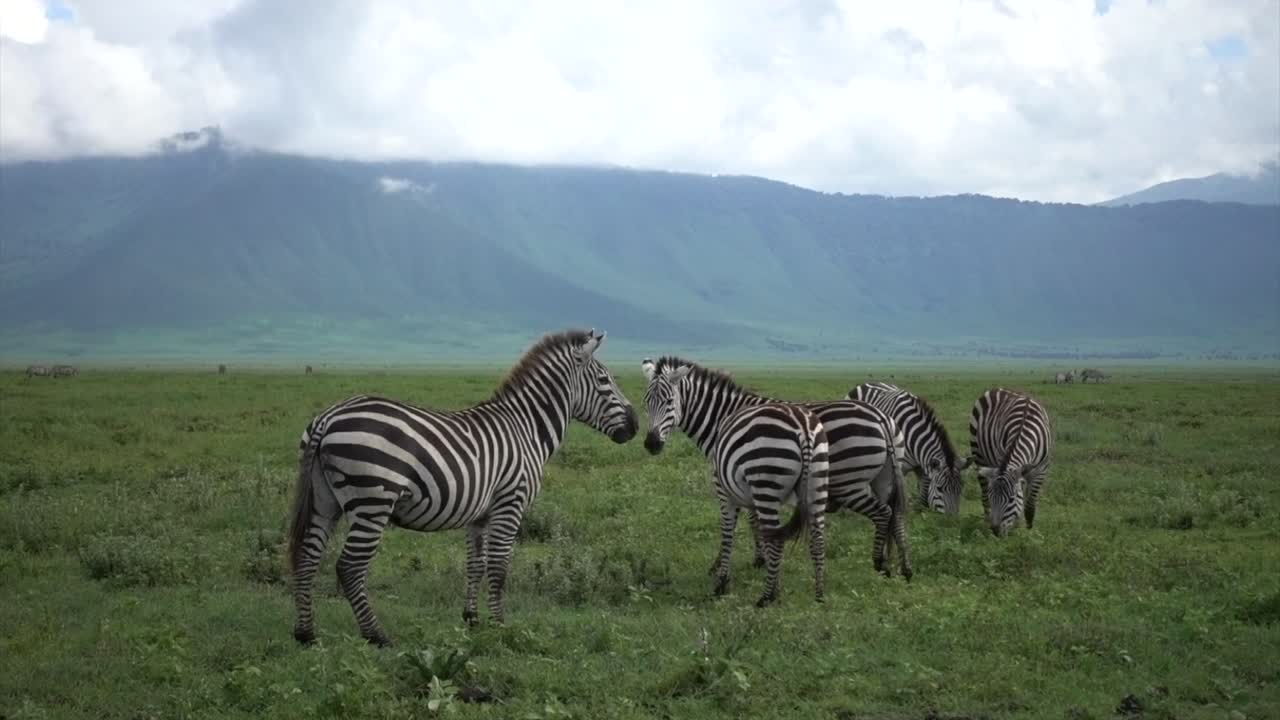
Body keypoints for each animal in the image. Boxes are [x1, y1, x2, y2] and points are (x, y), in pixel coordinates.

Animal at [288, 329, 637, 646]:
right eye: (605, 380)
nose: (635, 427)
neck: (526, 428)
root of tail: (328, 418)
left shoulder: (479, 514)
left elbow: (475, 565)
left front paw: (471, 619)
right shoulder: (510, 503)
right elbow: (498, 568)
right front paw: (499, 626)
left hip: (324, 500)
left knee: (307, 557)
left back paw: (306, 633)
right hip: (373, 500)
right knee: (349, 567)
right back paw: (376, 635)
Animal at [642, 357, 912, 580]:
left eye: (669, 402)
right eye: (646, 402)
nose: (651, 444)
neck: (724, 418)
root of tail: (880, 418)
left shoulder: (735, 476)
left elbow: (740, 521)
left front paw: (742, 562)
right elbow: (752, 519)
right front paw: (759, 559)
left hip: (849, 483)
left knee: (883, 514)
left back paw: (880, 563)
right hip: (885, 477)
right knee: (896, 515)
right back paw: (903, 567)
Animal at [708, 402, 830, 607]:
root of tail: (804, 427)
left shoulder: (725, 492)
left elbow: (727, 535)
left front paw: (722, 582)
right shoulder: (752, 501)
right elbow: (761, 534)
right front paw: (775, 583)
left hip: (766, 482)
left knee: (777, 541)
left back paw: (765, 598)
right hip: (817, 485)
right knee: (818, 541)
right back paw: (819, 595)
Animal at [848, 382, 970, 514]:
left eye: (960, 488)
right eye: (940, 488)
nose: (952, 518)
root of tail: (866, 383)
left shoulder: (923, 465)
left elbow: (924, 492)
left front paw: (922, 511)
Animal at [967, 388, 1054, 536]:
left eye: (1011, 499)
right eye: (992, 496)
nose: (995, 531)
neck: (1024, 429)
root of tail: (997, 389)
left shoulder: (1041, 469)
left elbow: (1030, 504)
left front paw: (1028, 531)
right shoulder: (1000, 461)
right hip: (978, 454)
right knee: (983, 493)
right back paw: (985, 521)